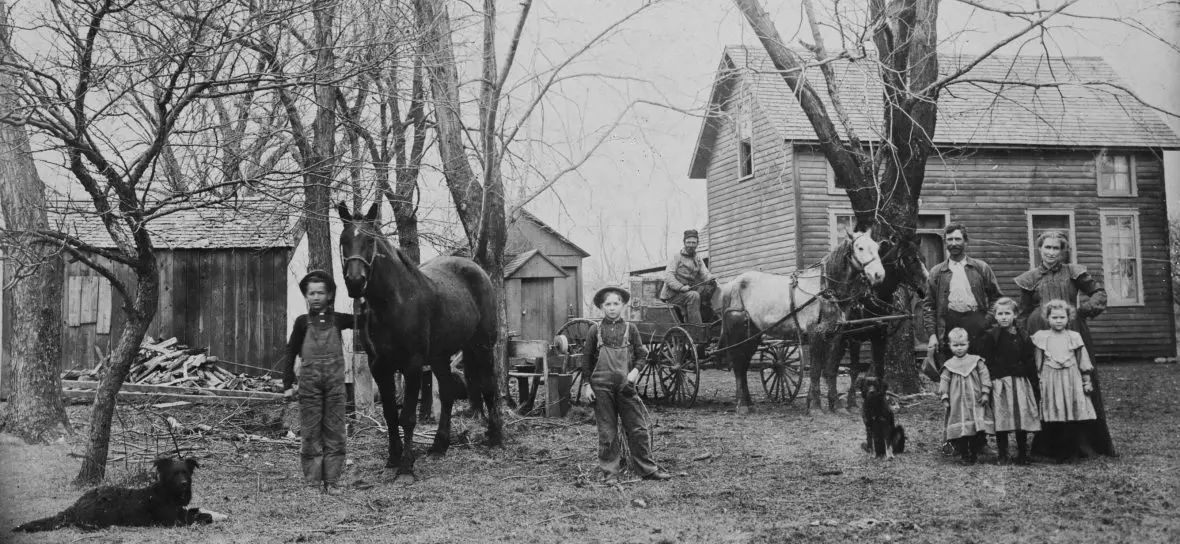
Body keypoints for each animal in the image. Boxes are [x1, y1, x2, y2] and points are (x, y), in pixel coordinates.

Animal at [14, 453, 213, 531]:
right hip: (105, 509)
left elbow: (195, 511)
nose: (184, 484)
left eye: (185, 472)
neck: (166, 493)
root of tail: (75, 505)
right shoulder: (173, 521)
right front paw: (206, 516)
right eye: (174, 474)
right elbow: (201, 517)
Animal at [337, 202, 502, 474]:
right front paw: (393, 458)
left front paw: (406, 465)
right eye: (343, 241)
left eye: (370, 241)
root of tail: (477, 270)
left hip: (483, 345)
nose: (355, 282)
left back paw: (496, 436)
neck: (394, 303)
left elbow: (407, 417)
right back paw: (439, 445)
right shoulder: (379, 366)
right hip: (440, 357)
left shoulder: (412, 365)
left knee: (489, 385)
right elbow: (390, 415)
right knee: (446, 394)